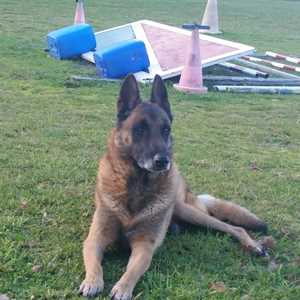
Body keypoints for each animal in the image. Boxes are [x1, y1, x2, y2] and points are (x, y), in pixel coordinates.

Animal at [79, 74, 268, 298]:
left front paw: (123, 288)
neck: (137, 185)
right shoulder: (95, 239)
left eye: (165, 130)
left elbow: (132, 270)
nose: (163, 161)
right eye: (139, 129)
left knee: (234, 227)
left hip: (189, 212)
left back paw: (253, 245)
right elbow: (95, 263)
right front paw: (92, 281)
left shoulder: (145, 245)